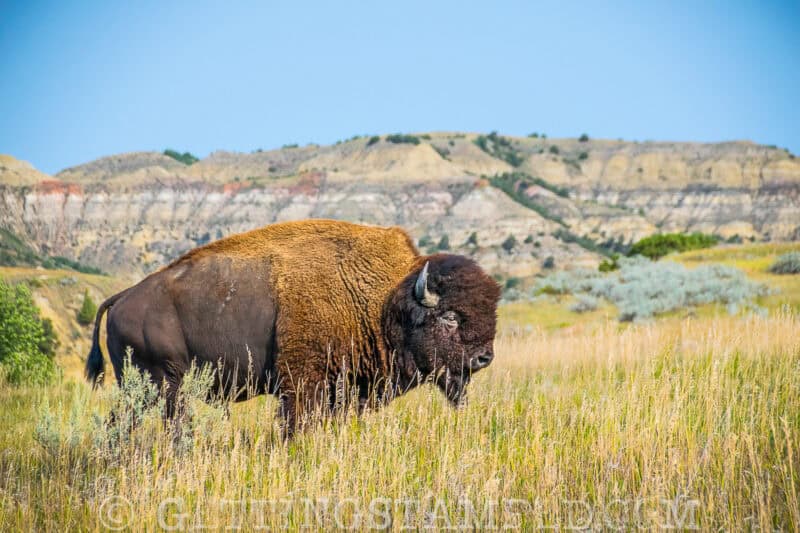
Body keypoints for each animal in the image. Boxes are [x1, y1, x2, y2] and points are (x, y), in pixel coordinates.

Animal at [87, 218, 500, 434]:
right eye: (450, 316)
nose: (484, 358)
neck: (382, 301)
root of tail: (123, 296)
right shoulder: (302, 382)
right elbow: (296, 423)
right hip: (165, 382)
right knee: (173, 422)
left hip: (141, 388)